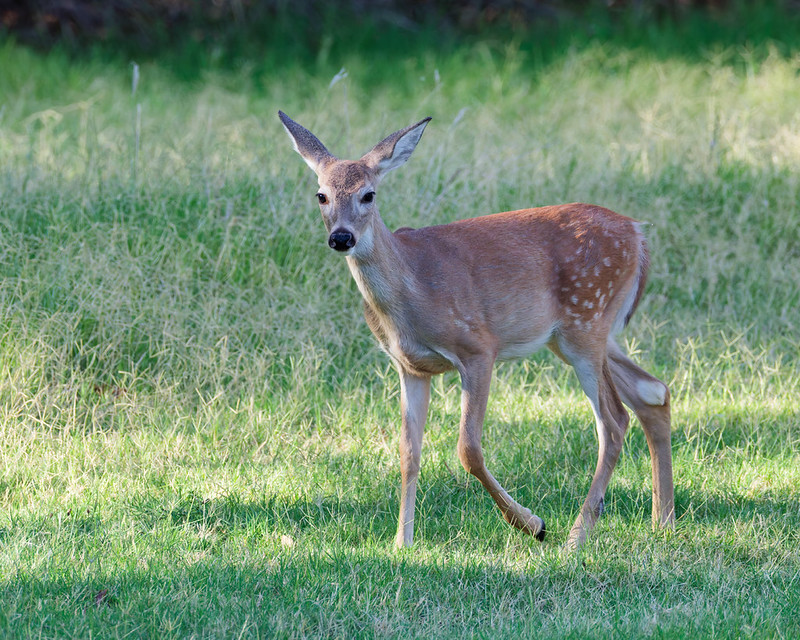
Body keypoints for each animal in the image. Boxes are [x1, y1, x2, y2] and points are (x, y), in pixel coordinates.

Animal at [278, 110, 675, 549]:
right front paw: (402, 541)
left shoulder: (478, 347)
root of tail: (638, 234)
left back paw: (577, 534)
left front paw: (531, 523)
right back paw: (662, 520)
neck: (411, 293)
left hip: (586, 323)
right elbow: (408, 453)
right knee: (653, 391)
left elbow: (468, 449)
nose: (341, 237)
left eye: (369, 195)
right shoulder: (409, 367)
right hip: (579, 335)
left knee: (614, 421)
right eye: (321, 195)